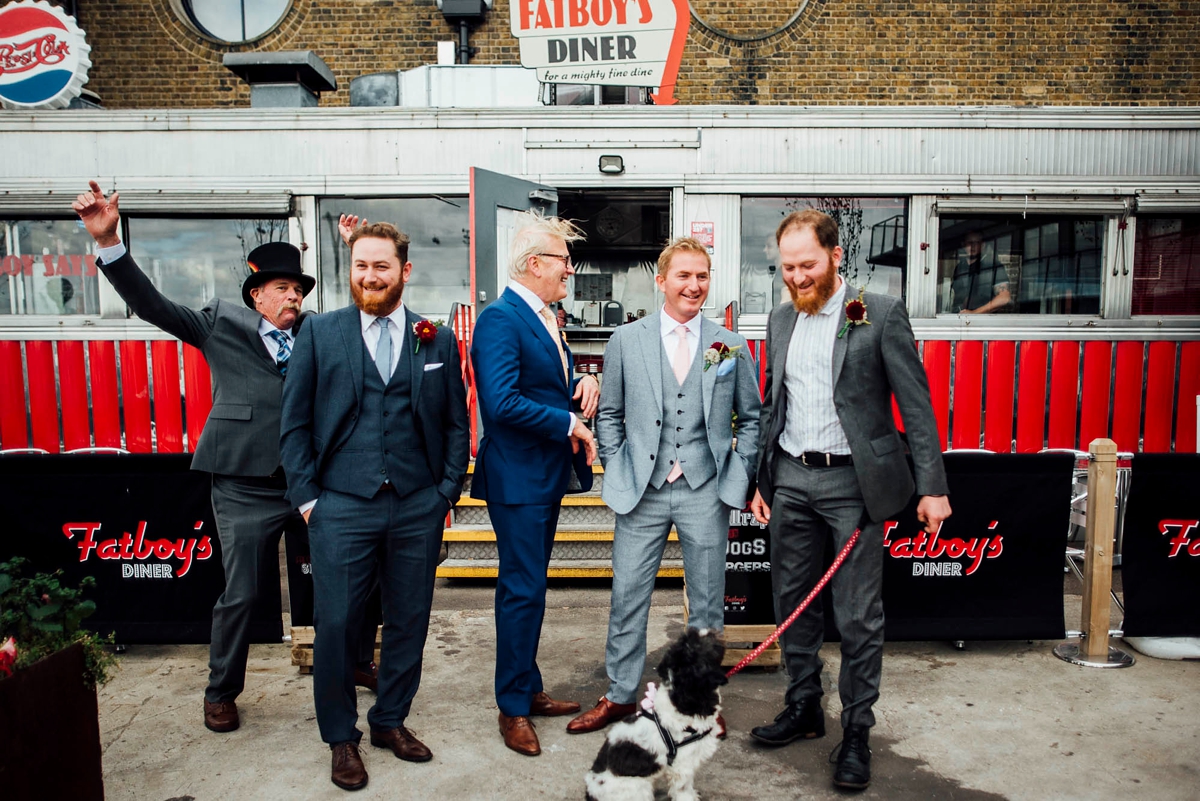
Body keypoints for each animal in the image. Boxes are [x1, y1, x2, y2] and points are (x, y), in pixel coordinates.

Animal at [585, 628, 724, 796]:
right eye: (696, 645)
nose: (707, 630)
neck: (681, 698)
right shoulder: (682, 766)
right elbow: (683, 791)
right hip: (639, 788)